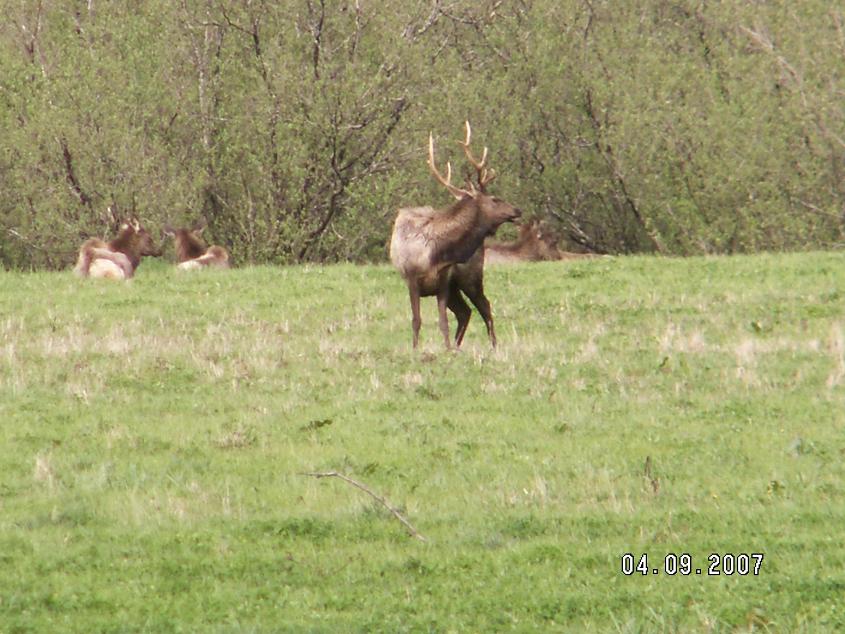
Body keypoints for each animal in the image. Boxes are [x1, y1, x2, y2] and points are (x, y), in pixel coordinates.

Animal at [390, 121, 520, 348]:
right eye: (495, 199)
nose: (517, 210)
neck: (435, 255)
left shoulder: (443, 280)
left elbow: (443, 321)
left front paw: (447, 349)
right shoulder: (412, 278)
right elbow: (416, 320)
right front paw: (417, 349)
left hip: (470, 277)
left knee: (482, 307)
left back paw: (491, 345)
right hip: (459, 285)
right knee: (467, 311)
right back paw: (463, 345)